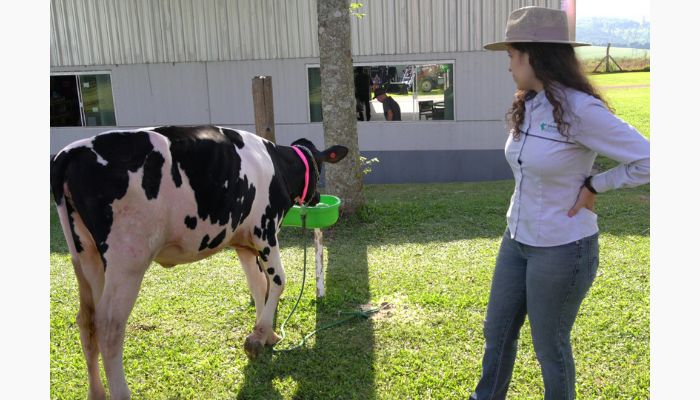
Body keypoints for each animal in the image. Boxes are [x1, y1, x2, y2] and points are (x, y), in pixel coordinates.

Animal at [47, 124, 348, 396]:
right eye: (320, 169)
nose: (317, 198)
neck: (276, 164)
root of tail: (70, 152)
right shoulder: (265, 230)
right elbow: (277, 281)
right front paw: (258, 337)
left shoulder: (243, 242)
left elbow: (257, 286)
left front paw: (267, 335)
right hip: (127, 258)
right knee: (109, 325)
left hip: (85, 256)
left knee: (86, 320)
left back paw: (95, 392)